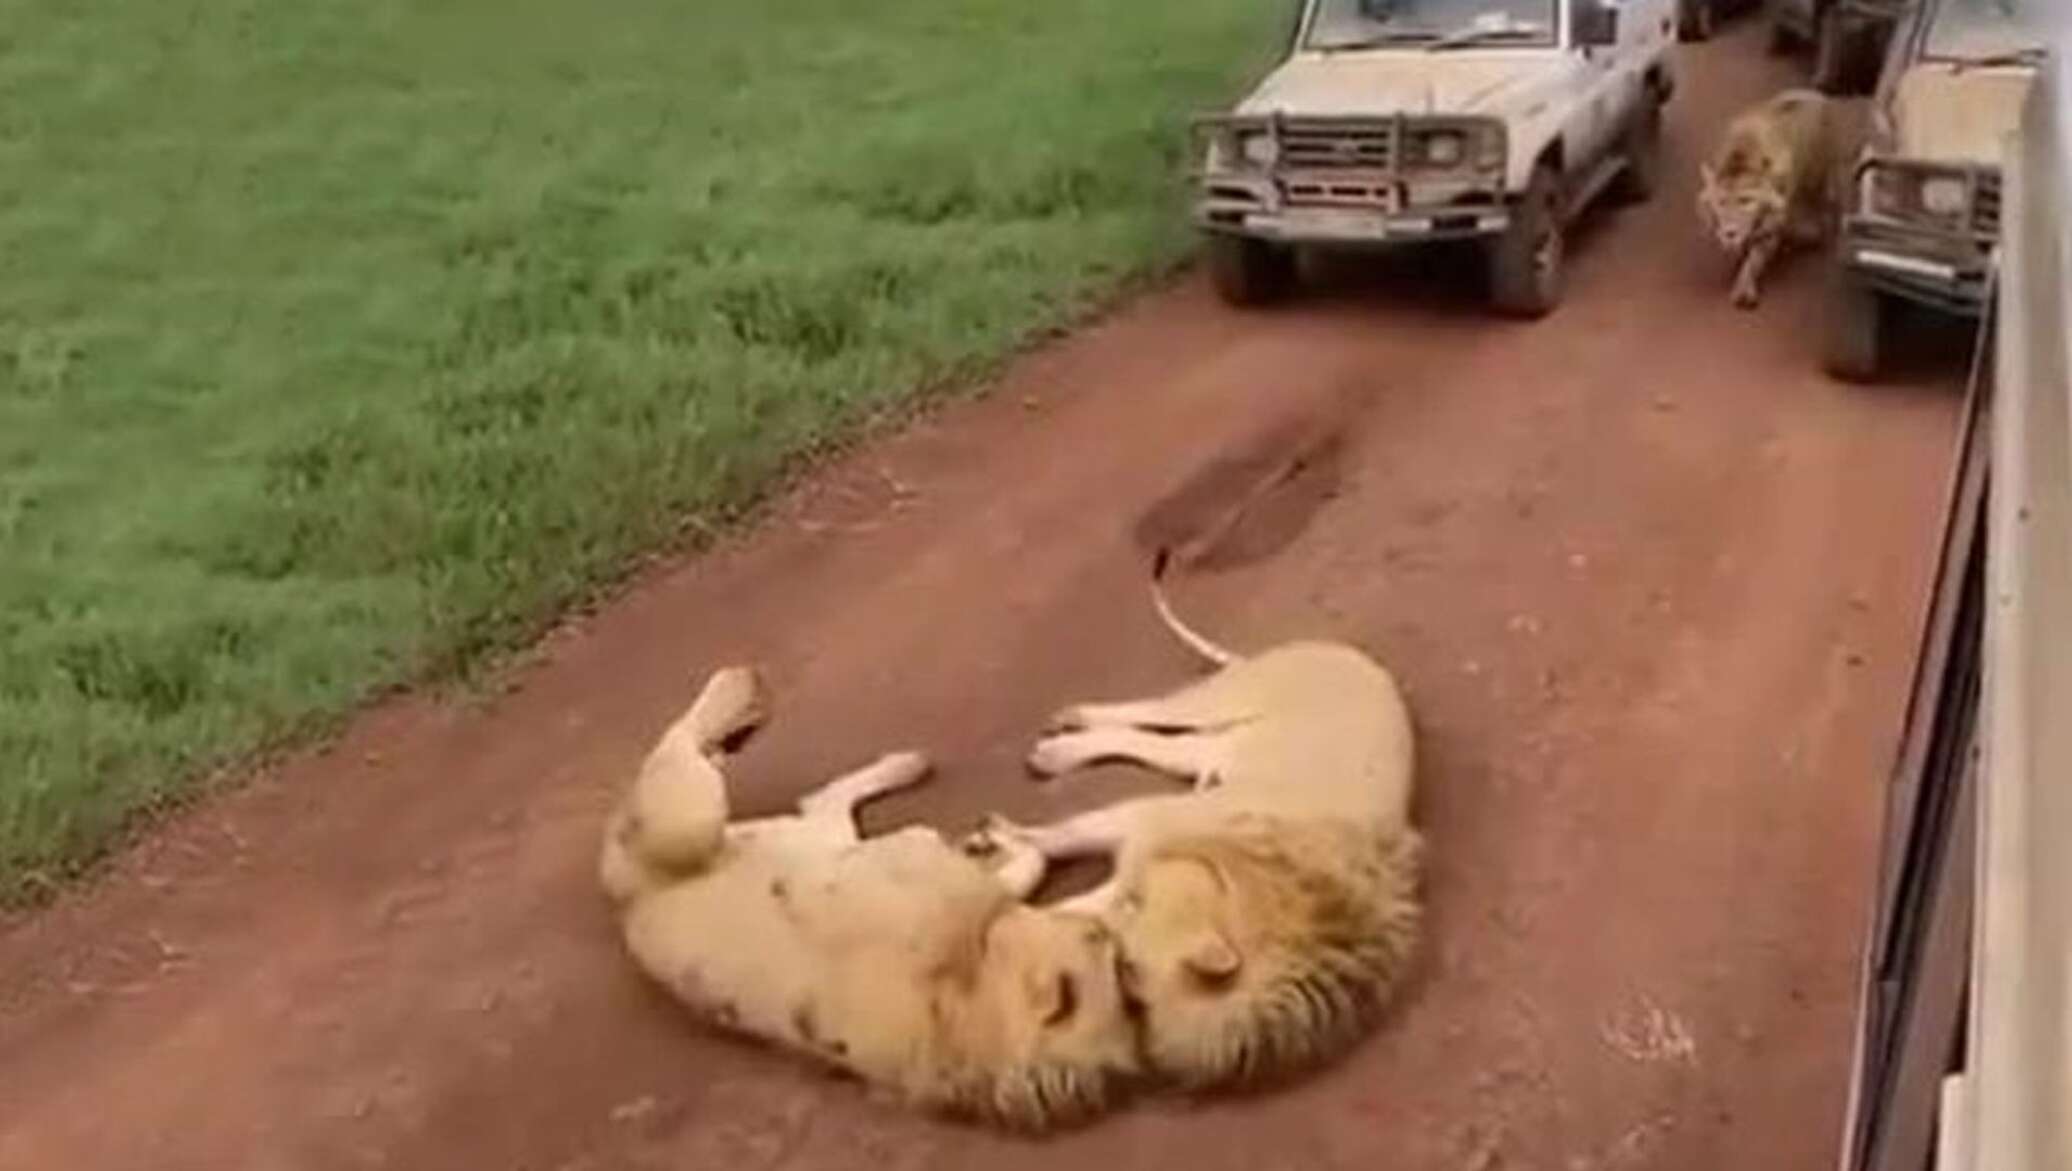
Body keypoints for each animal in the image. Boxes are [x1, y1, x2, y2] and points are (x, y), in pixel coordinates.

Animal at [600, 667, 1152, 1135]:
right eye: (1117, 972)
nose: (1108, 936)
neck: (970, 997)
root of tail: (627, 901)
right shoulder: (923, 861)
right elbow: (1013, 867)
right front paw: (997, 846)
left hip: (746, 831)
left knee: (808, 799)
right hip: (686, 824)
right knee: (683, 748)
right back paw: (742, 690)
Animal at [957, 551, 1417, 1094]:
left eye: (1132, 973)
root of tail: (1343, 652)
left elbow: (1074, 901)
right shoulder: (1149, 819)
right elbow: (1066, 838)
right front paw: (1004, 846)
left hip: (1214, 745)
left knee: (1150, 741)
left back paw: (1060, 748)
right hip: (1220, 704)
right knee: (1155, 711)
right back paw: (1067, 730)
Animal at [1699, 88, 1848, 308]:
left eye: (1746, 201)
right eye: (1721, 203)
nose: (1730, 233)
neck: (1740, 161)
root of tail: (1814, 93)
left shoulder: (1773, 220)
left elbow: (1755, 257)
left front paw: (1744, 288)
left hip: (1818, 178)